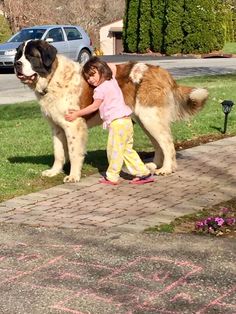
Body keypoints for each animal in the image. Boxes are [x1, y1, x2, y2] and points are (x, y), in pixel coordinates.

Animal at [13, 41, 208, 184]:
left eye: (31, 56)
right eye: (19, 55)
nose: (16, 64)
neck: (53, 78)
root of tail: (162, 72)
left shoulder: (73, 125)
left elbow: (74, 152)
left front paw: (73, 176)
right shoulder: (56, 128)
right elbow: (59, 153)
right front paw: (54, 172)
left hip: (150, 117)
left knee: (167, 143)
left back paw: (167, 169)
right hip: (145, 120)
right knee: (158, 143)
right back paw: (154, 165)